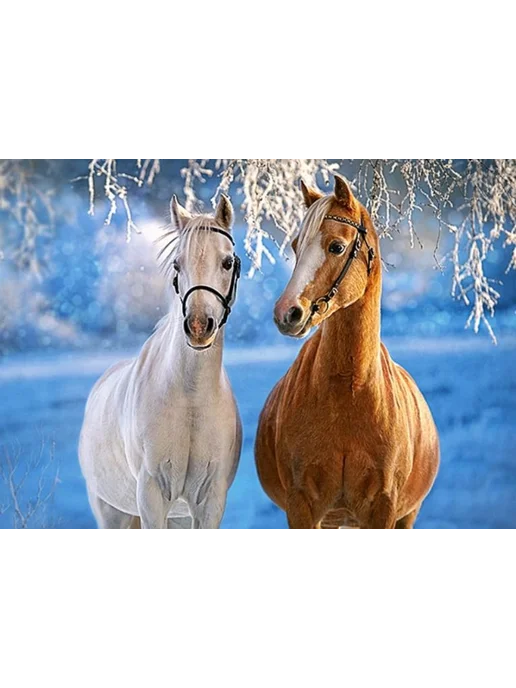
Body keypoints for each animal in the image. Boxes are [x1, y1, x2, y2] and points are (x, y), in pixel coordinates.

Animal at [79, 194, 242, 530]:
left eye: (227, 262)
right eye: (177, 264)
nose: (198, 326)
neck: (190, 400)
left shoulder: (209, 504)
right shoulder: (152, 499)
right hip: (111, 517)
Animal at [255, 175, 439, 530]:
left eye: (336, 247)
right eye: (296, 246)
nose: (287, 313)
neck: (348, 392)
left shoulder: (382, 511)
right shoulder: (301, 510)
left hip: (406, 518)